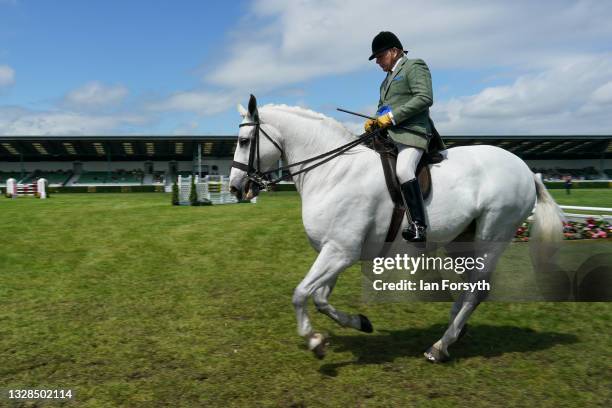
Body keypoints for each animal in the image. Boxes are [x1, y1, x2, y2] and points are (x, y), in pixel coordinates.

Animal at [230, 96, 564, 364]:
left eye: (244, 141)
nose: (235, 188)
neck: (333, 171)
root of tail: (526, 169)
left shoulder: (340, 252)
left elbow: (300, 294)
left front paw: (315, 342)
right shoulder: (334, 250)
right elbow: (321, 299)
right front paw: (360, 323)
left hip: (492, 236)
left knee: (476, 290)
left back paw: (440, 347)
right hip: (461, 241)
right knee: (472, 287)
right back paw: (454, 332)